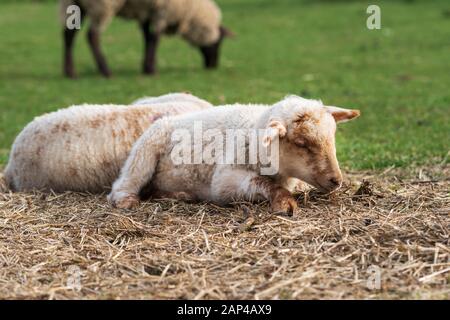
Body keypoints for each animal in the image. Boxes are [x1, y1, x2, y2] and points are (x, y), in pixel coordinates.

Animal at [60, 0, 234, 77]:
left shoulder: (148, 10)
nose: (213, 65)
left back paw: (70, 72)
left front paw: (146, 66)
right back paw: (105, 70)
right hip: (102, 5)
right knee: (92, 35)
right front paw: (151, 69)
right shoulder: (162, 10)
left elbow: (147, 37)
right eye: (218, 43)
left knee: (68, 35)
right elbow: (155, 38)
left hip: (74, 3)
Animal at [107, 95, 360, 215]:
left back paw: (179, 195)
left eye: (333, 137)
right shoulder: (223, 181)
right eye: (301, 143)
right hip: (143, 154)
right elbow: (261, 182)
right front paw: (284, 202)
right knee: (123, 184)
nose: (336, 181)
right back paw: (126, 199)